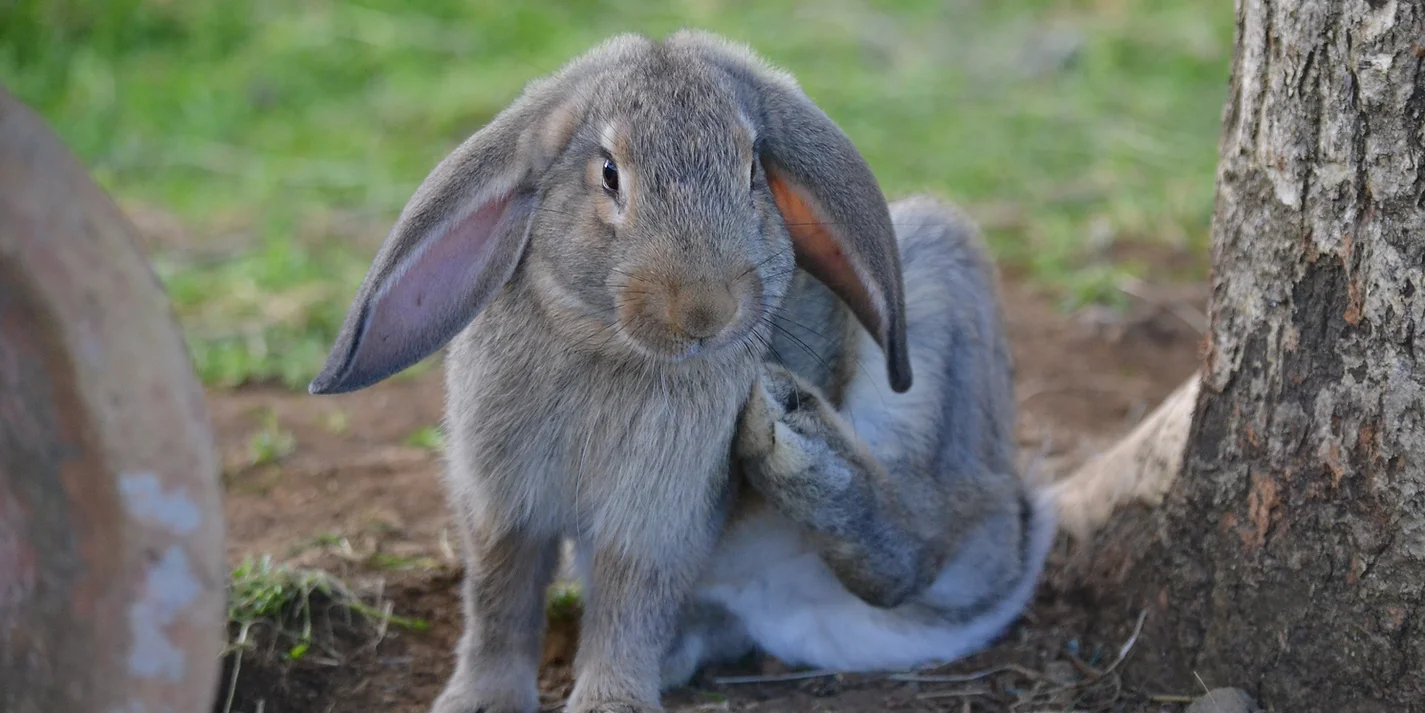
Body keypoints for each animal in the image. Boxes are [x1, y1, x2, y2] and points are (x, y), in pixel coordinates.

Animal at [309, 29, 1057, 713]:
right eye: (609, 173)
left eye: (753, 170)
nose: (705, 310)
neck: (605, 345)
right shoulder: (501, 502)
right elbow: (500, 598)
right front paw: (480, 702)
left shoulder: (656, 516)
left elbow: (628, 604)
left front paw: (609, 705)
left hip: (937, 312)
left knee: (921, 547)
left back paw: (791, 435)